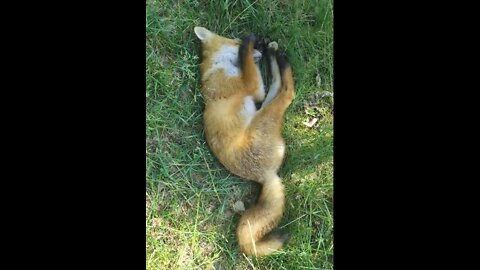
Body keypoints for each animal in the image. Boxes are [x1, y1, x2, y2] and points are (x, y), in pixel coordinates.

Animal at [193, 26, 294, 256]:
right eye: (236, 41)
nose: (259, 50)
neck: (216, 67)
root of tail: (266, 176)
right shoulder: (252, 87)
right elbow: (248, 67)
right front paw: (249, 44)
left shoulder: (256, 90)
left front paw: (264, 47)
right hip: (265, 114)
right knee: (287, 92)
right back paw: (282, 61)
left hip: (263, 108)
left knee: (277, 84)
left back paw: (276, 56)